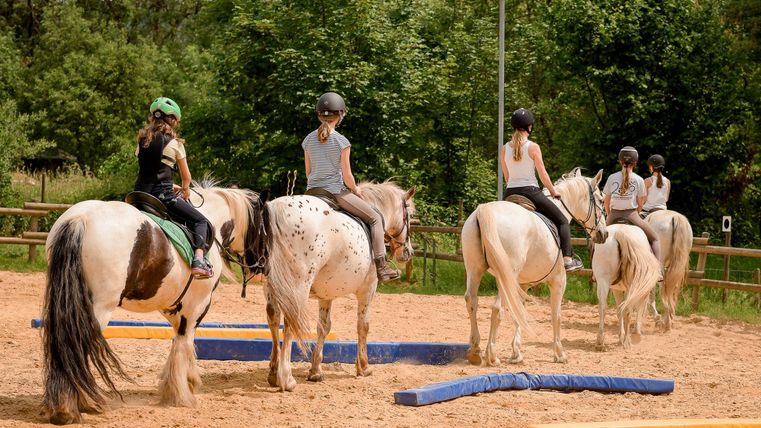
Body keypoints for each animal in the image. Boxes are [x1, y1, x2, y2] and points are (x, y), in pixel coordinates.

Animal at [42, 182, 266, 425]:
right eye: (264, 228)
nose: (261, 266)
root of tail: (80, 219)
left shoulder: (172, 306)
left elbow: (180, 342)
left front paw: (182, 382)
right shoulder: (197, 306)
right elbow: (185, 342)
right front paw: (181, 394)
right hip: (98, 309)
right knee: (77, 347)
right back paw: (72, 406)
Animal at [257, 181, 415, 392]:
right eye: (409, 216)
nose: (407, 252)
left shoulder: (326, 294)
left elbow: (323, 327)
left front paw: (316, 371)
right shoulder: (368, 289)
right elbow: (363, 326)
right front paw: (363, 366)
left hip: (272, 286)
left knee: (273, 318)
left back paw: (274, 373)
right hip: (297, 286)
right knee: (290, 321)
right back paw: (287, 379)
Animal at [461, 168, 608, 366]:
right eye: (600, 199)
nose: (603, 234)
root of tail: (485, 210)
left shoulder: (521, 284)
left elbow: (519, 313)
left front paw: (516, 353)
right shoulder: (558, 281)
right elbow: (556, 315)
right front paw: (559, 353)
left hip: (474, 270)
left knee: (472, 301)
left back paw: (475, 351)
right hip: (504, 275)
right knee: (497, 308)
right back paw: (491, 355)